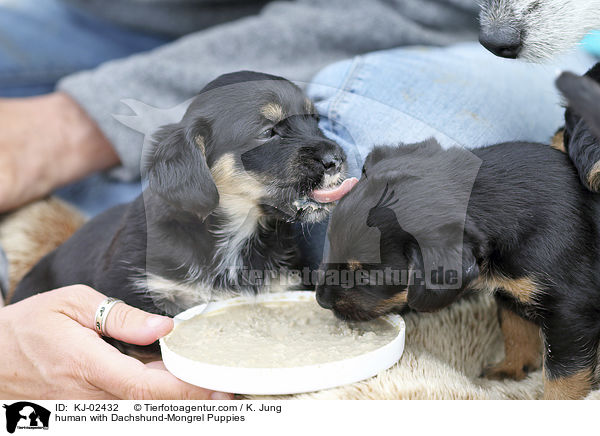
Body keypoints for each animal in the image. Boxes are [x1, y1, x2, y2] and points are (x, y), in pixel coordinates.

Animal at [316, 138, 600, 400]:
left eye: (367, 274)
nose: (321, 300)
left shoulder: (569, 309)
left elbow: (561, 376)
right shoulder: (510, 291)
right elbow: (515, 330)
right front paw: (510, 369)